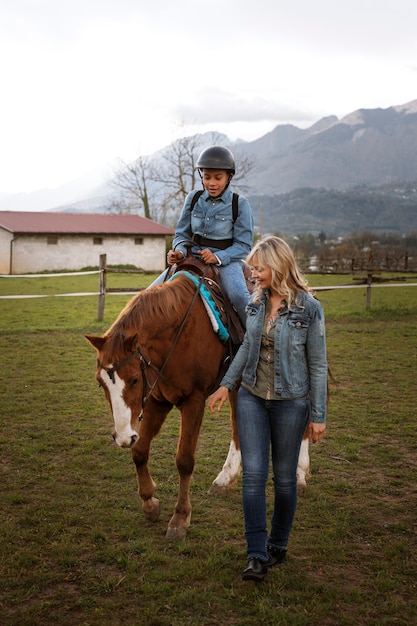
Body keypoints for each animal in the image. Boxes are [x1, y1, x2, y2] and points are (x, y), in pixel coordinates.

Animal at [84, 270, 240, 540]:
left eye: (134, 379)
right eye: (100, 383)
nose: (122, 437)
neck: (178, 335)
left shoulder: (194, 400)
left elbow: (184, 460)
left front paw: (180, 518)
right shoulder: (157, 400)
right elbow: (139, 451)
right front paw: (150, 503)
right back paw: (225, 478)